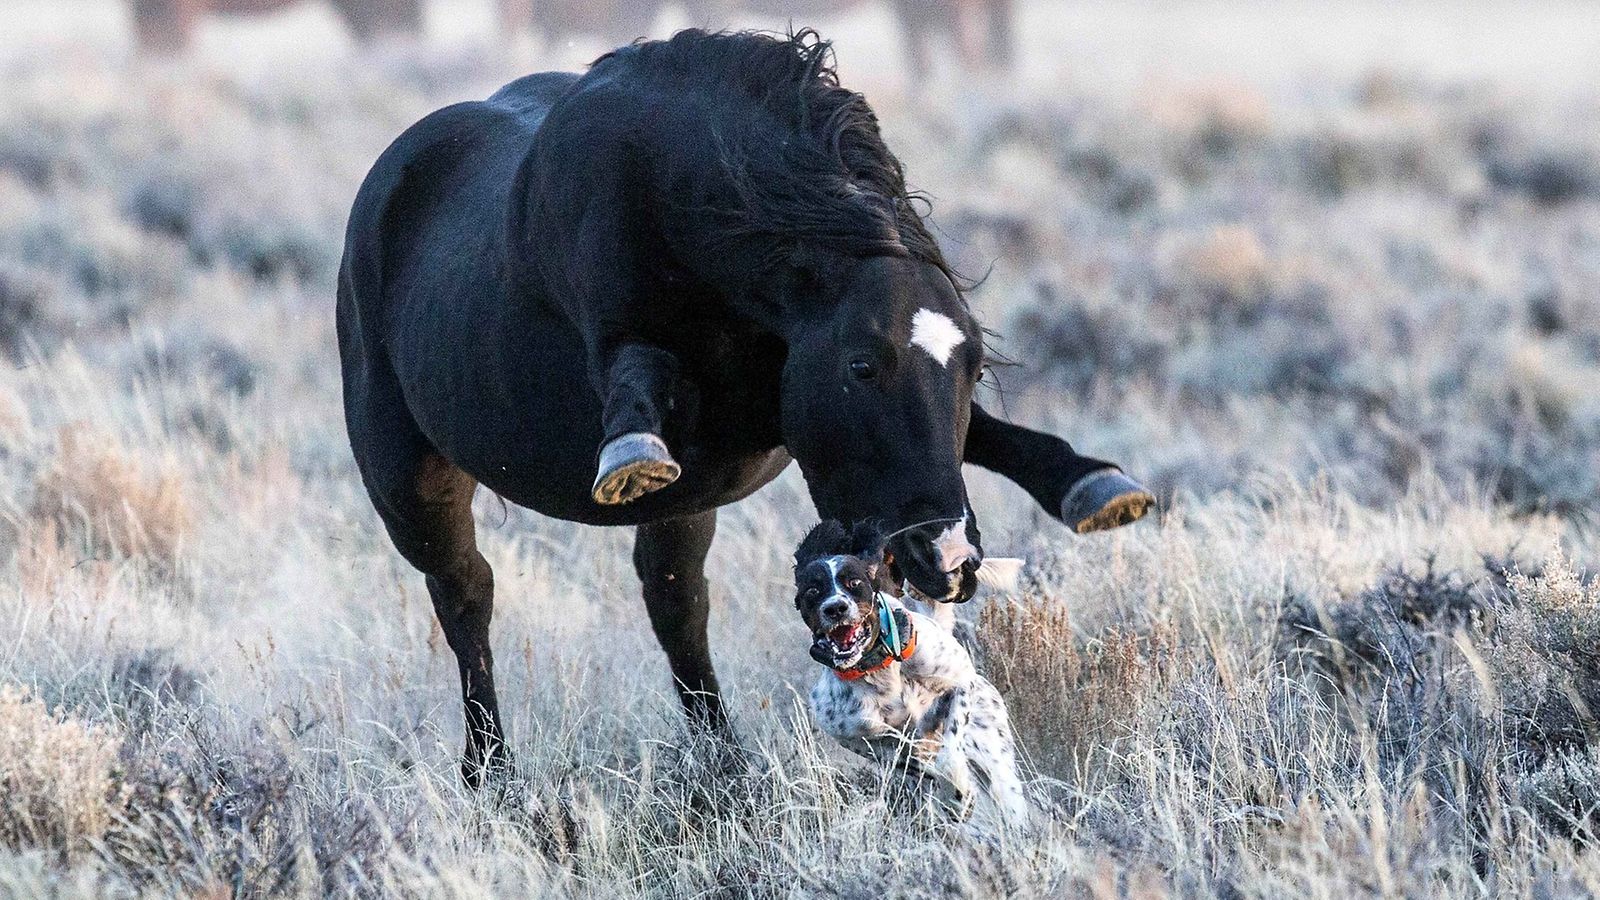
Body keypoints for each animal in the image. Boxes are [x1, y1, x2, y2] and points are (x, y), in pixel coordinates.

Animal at [334, 29, 1152, 778]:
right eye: (862, 364)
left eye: (974, 365)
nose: (948, 556)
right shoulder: (630, 344)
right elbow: (635, 376)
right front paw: (631, 453)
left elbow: (994, 435)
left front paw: (1096, 487)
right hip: (408, 482)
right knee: (466, 596)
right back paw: (492, 772)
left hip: (682, 512)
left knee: (675, 603)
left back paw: (723, 759)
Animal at [793, 515, 1030, 826]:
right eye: (813, 591)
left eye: (854, 582)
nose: (836, 608)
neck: (880, 672)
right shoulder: (870, 743)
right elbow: (917, 763)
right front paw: (954, 793)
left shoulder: (960, 682)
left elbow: (949, 748)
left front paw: (956, 789)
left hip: (996, 762)